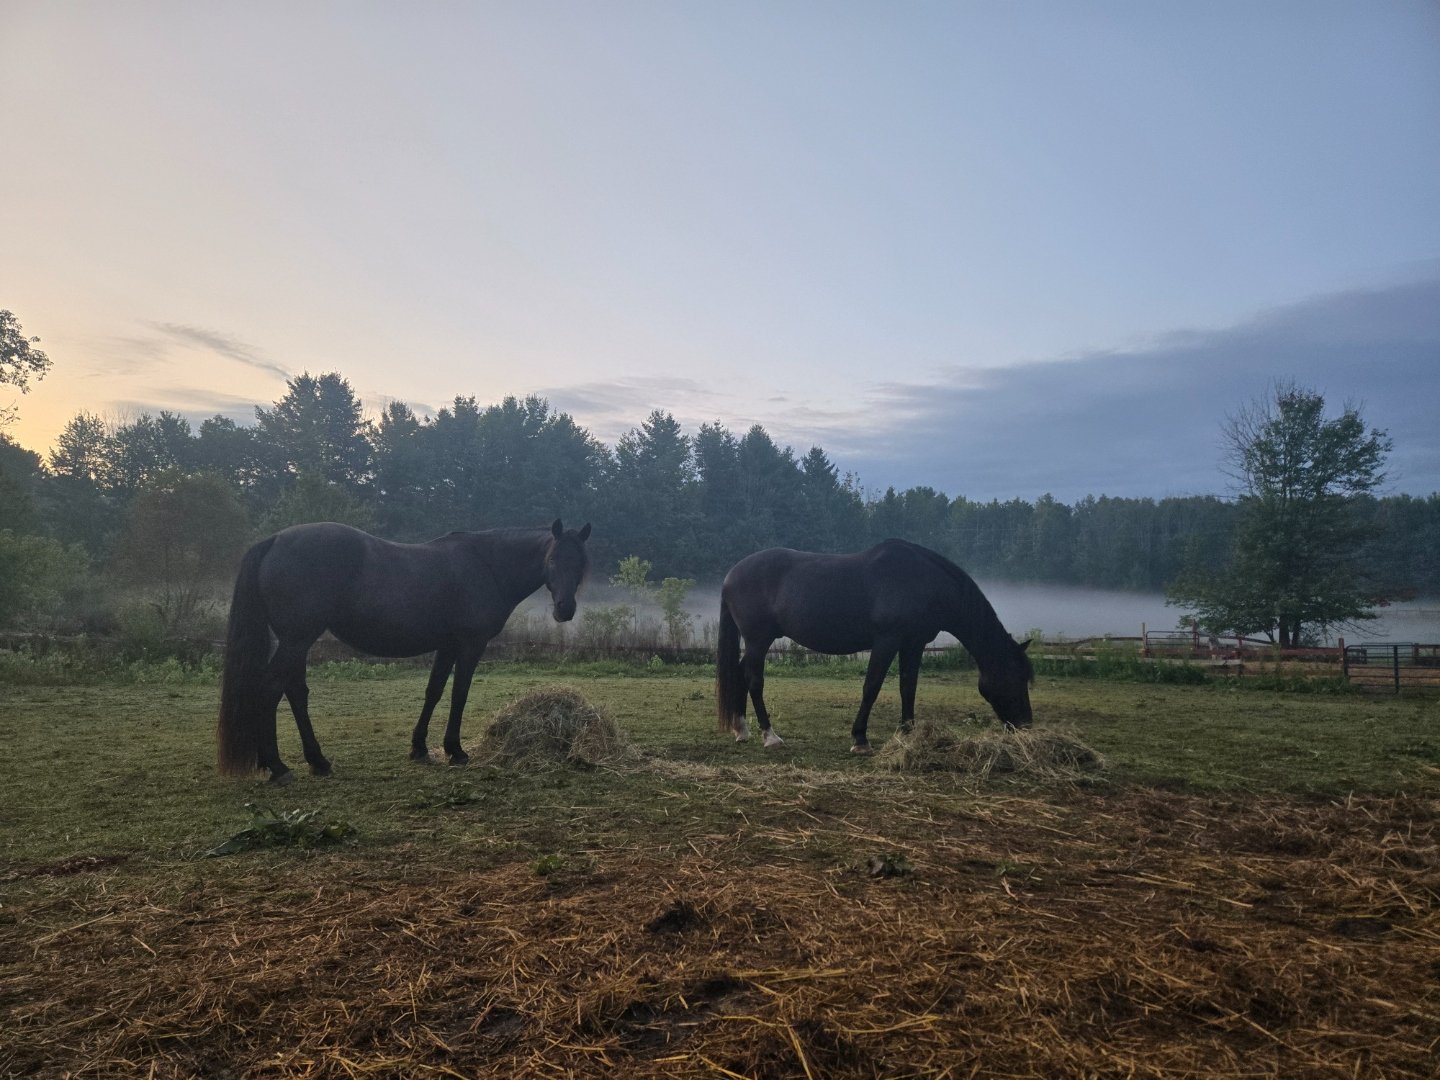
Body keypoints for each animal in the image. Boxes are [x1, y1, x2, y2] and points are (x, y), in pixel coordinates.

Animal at [217, 519, 591, 783]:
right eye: (553, 559)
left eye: (581, 563)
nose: (565, 609)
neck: (486, 565)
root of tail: (275, 540)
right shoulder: (470, 644)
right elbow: (459, 694)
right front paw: (455, 751)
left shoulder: (447, 644)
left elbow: (434, 691)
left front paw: (420, 748)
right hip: (297, 639)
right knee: (271, 688)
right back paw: (278, 766)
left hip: (297, 641)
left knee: (294, 691)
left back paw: (316, 761)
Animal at [716, 539, 1033, 753]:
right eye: (1016, 678)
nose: (1026, 727)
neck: (921, 581)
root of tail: (731, 574)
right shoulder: (886, 641)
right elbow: (872, 686)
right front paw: (860, 739)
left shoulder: (913, 644)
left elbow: (908, 687)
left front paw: (907, 733)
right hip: (759, 639)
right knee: (754, 679)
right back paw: (770, 736)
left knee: (741, 671)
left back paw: (741, 729)